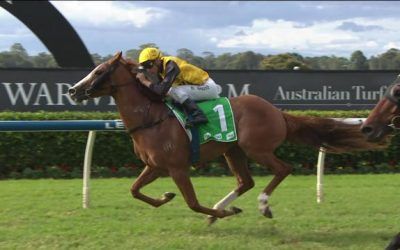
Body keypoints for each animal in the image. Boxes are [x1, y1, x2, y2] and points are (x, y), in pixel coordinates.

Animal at [69, 51, 382, 224]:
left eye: (99, 71)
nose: (73, 90)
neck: (151, 117)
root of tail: (277, 112)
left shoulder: (177, 168)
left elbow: (192, 203)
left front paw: (225, 213)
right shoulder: (155, 166)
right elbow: (135, 190)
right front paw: (166, 196)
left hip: (256, 149)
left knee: (283, 169)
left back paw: (260, 205)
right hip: (233, 151)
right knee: (245, 181)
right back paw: (221, 209)